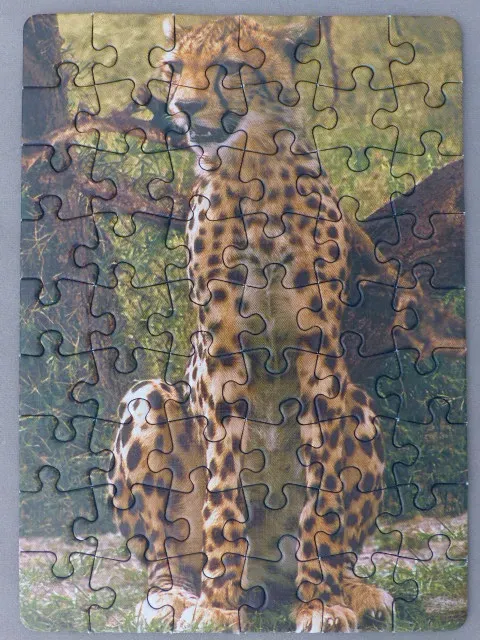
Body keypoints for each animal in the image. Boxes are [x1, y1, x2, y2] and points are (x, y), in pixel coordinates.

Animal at [108, 16, 397, 633]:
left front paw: (321, 601)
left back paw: (352, 587)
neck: (257, 169)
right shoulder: (220, 352)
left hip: (360, 408)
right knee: (163, 553)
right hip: (147, 398)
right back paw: (176, 595)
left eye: (229, 67)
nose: (184, 108)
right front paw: (218, 605)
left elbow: (322, 500)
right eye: (173, 67)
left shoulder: (320, 356)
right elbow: (224, 497)